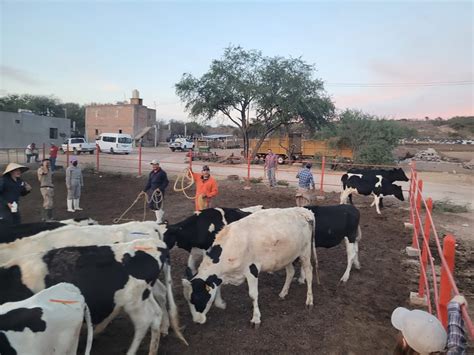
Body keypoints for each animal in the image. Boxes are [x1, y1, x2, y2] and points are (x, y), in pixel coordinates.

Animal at [181, 209, 314, 328]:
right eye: (187, 300)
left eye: (197, 297)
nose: (197, 321)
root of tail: (303, 211)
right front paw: (220, 303)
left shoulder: (252, 270)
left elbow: (253, 295)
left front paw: (256, 319)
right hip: (287, 256)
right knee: (291, 272)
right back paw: (283, 293)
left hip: (305, 252)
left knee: (309, 272)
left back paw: (309, 300)